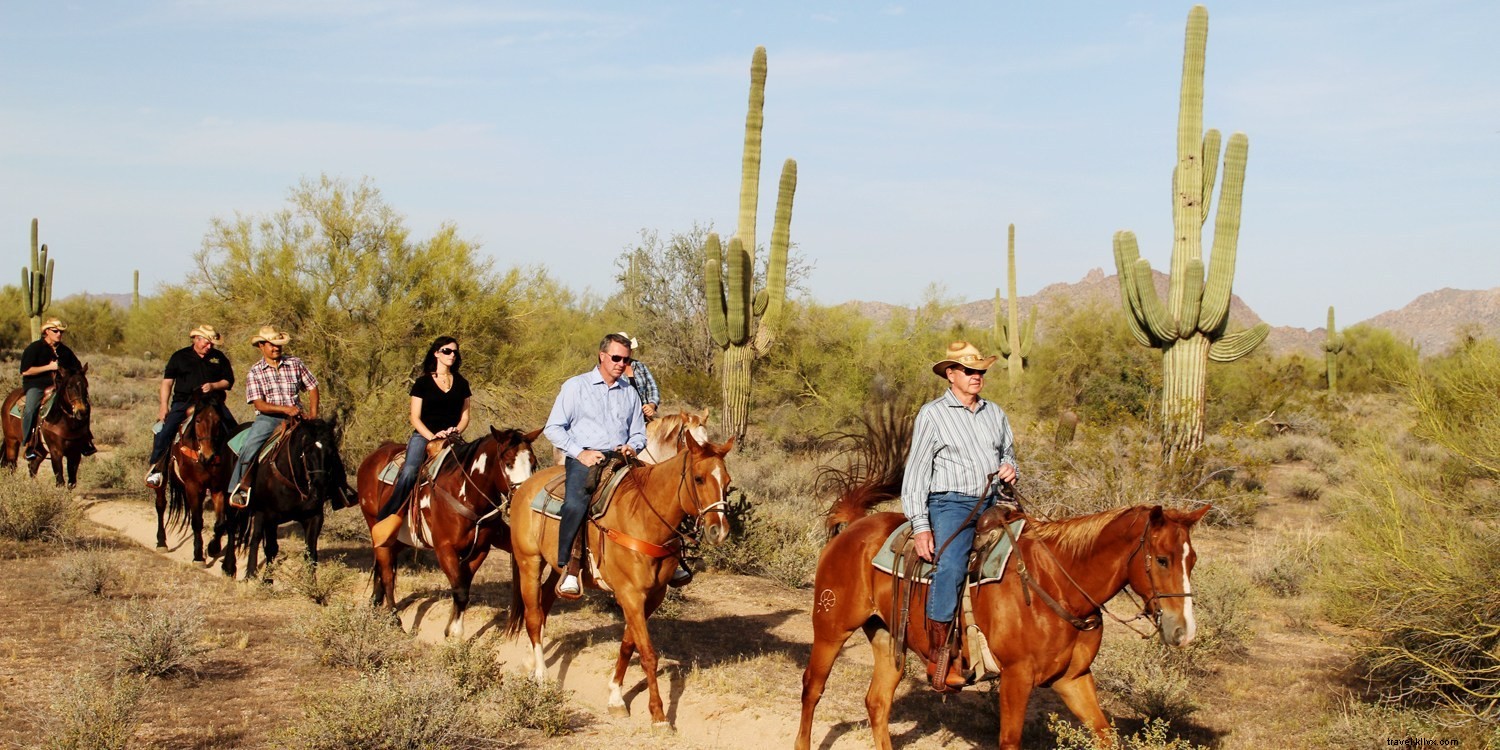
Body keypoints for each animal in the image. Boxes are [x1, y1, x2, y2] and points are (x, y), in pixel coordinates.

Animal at [153, 396, 235, 570]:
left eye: (218, 421)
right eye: (197, 420)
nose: (208, 455)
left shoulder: (218, 487)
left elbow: (220, 523)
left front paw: (213, 548)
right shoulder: (193, 486)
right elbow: (197, 521)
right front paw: (198, 556)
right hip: (163, 481)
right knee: (161, 505)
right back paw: (161, 542)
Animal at [228, 417, 354, 579]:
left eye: (332, 452)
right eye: (307, 451)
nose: (320, 486)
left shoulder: (314, 517)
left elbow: (311, 554)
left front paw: (311, 584)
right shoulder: (271, 516)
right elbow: (271, 548)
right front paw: (267, 582)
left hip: (259, 511)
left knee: (254, 537)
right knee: (233, 530)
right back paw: (230, 568)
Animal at [354, 429, 543, 639]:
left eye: (533, 463)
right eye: (509, 463)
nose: (525, 499)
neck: (465, 492)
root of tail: (375, 455)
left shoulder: (479, 550)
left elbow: (463, 587)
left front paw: (452, 628)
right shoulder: (445, 549)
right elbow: (459, 590)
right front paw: (455, 634)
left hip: (398, 539)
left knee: (383, 568)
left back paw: (375, 604)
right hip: (376, 527)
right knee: (387, 573)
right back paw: (395, 622)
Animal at [507, 432, 735, 729]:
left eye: (727, 483)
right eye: (698, 478)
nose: (719, 531)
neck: (644, 519)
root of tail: (524, 487)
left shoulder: (652, 596)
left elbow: (628, 644)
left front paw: (616, 696)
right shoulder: (630, 594)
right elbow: (648, 654)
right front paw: (659, 716)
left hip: (557, 567)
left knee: (543, 605)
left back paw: (530, 663)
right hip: (529, 562)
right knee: (533, 616)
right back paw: (543, 678)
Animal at [798, 498, 1206, 750]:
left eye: (1193, 560)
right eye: (1163, 559)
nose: (1184, 631)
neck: (1055, 585)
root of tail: (854, 528)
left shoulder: (1073, 678)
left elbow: (1104, 733)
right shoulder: (1016, 677)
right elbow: (1010, 741)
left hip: (886, 637)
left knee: (878, 702)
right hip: (831, 628)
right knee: (812, 689)